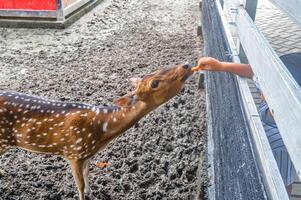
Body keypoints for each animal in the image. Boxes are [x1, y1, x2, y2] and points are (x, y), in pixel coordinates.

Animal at [0, 64, 193, 200]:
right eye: (154, 83)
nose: (186, 65)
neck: (102, 132)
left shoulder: (87, 154)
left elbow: (87, 176)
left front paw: (93, 191)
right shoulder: (74, 152)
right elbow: (79, 185)